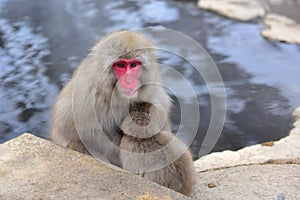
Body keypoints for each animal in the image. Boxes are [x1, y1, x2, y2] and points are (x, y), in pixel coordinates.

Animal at [49, 30, 171, 166]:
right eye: (121, 65)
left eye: (133, 65)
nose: (129, 81)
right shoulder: (86, 97)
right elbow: (76, 131)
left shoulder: (156, 97)